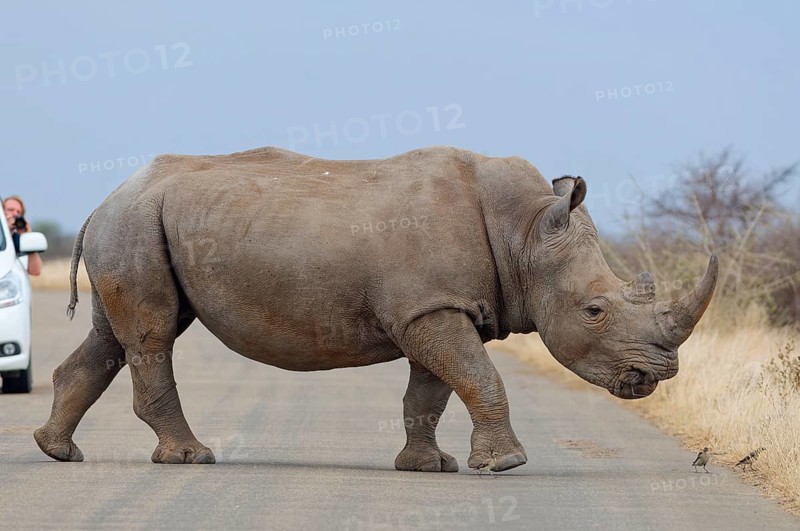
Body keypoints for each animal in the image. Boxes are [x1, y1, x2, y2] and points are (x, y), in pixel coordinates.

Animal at [35, 146, 717, 472]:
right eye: (595, 310)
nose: (660, 373)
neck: (524, 232)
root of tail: (104, 198)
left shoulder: (434, 306)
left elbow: (433, 390)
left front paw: (429, 467)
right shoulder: (429, 307)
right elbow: (479, 377)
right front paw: (506, 464)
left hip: (138, 224)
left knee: (116, 337)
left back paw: (57, 452)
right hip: (136, 223)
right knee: (152, 336)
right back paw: (191, 458)